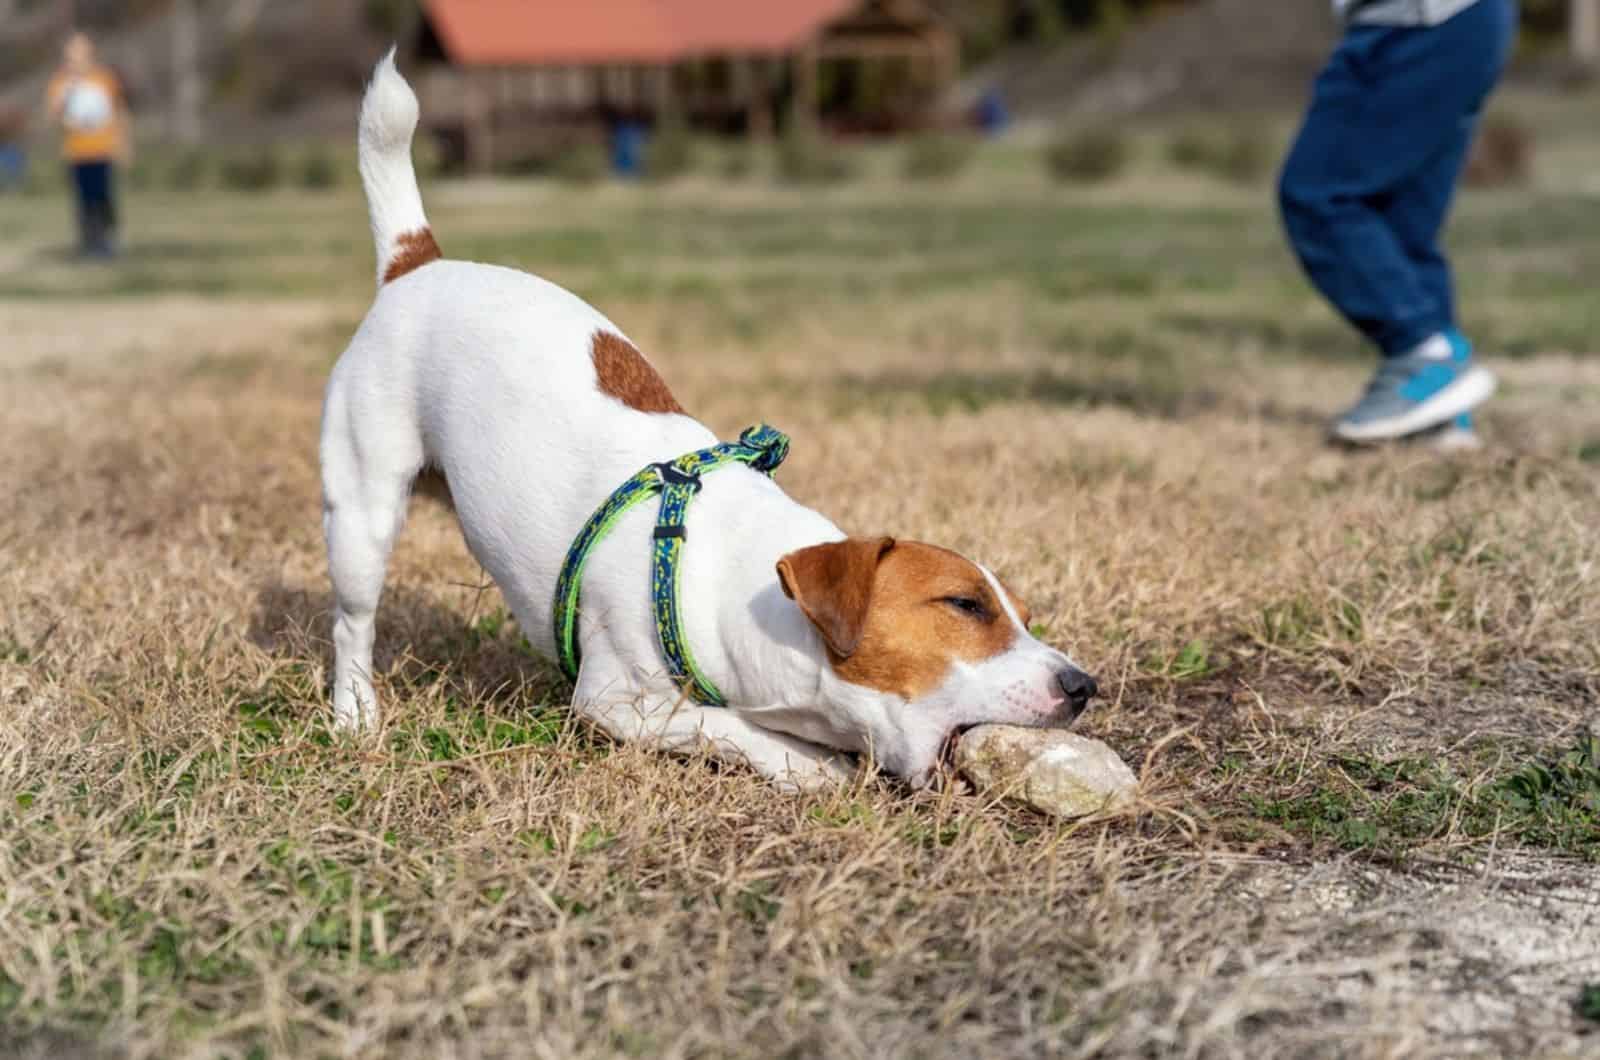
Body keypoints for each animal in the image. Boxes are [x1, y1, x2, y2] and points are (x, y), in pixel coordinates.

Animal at [324, 54, 1100, 794]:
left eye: (1024, 613)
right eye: (965, 605)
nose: (1083, 685)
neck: (745, 589)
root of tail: (416, 263)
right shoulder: (615, 701)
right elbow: (721, 723)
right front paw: (805, 763)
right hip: (362, 513)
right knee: (353, 623)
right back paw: (355, 714)